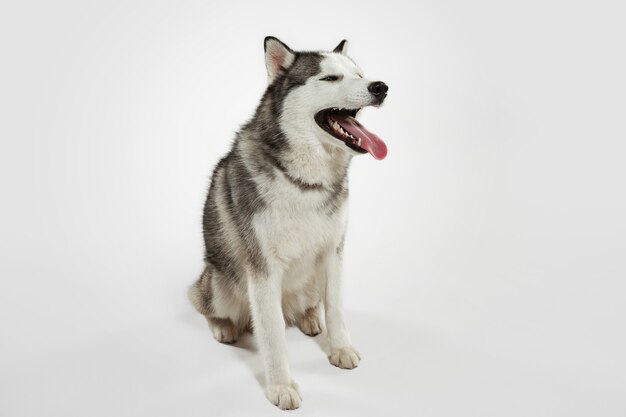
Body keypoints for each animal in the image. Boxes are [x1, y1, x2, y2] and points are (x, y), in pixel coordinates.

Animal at [188, 36, 388, 410]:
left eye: (359, 74)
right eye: (329, 78)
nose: (381, 86)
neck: (304, 182)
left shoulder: (334, 252)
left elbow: (336, 308)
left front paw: (339, 348)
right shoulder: (263, 268)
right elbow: (273, 335)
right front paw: (280, 386)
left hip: (309, 282)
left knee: (309, 305)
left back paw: (310, 319)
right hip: (219, 282)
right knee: (205, 303)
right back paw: (223, 327)